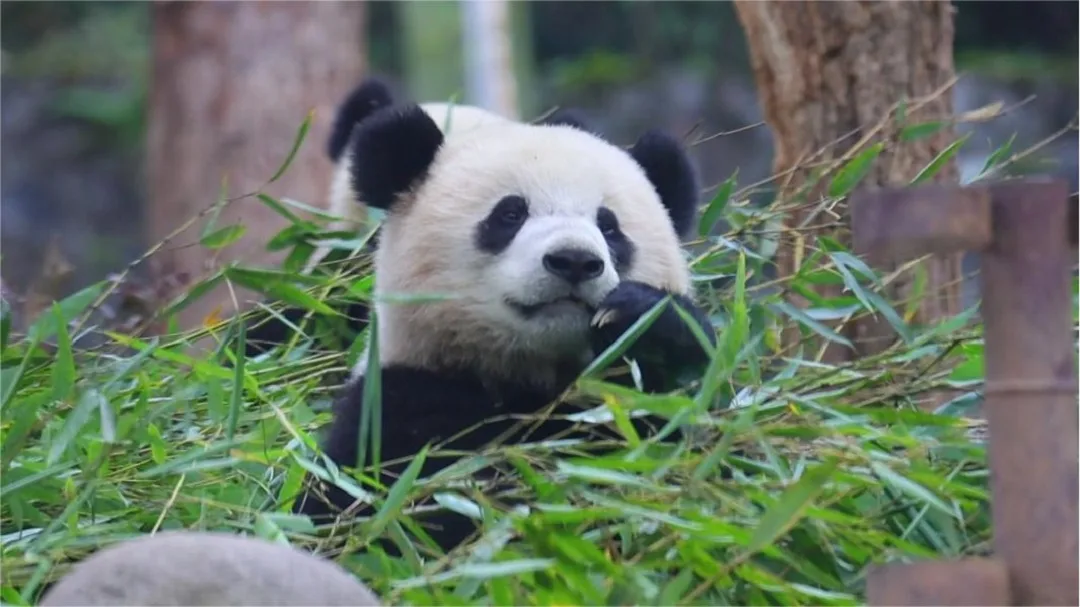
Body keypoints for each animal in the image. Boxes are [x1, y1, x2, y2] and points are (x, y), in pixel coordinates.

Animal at [289, 94, 716, 553]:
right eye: (511, 213)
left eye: (609, 225)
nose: (574, 260)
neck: (530, 379)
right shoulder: (395, 406)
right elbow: (374, 518)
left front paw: (645, 325)